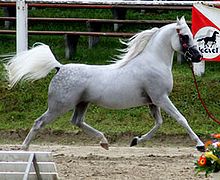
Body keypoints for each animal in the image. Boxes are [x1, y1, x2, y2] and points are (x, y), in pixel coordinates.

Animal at [4, 16, 205, 151]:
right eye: (185, 36)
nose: (198, 57)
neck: (153, 62)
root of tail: (59, 67)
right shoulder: (161, 98)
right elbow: (181, 118)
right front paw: (200, 145)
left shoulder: (152, 101)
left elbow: (159, 123)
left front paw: (135, 141)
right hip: (59, 106)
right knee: (39, 122)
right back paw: (24, 149)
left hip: (82, 103)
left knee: (77, 121)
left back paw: (104, 142)